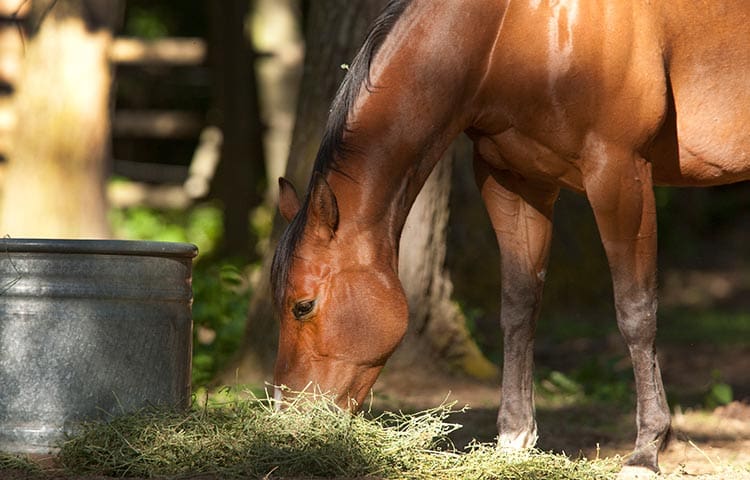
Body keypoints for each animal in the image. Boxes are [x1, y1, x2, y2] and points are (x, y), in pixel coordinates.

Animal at [270, 0, 750, 476]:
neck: (513, 31)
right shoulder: (515, 181)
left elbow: (636, 312)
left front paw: (646, 451)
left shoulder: (619, 174)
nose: (287, 420)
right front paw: (514, 439)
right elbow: (519, 307)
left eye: (303, 306)